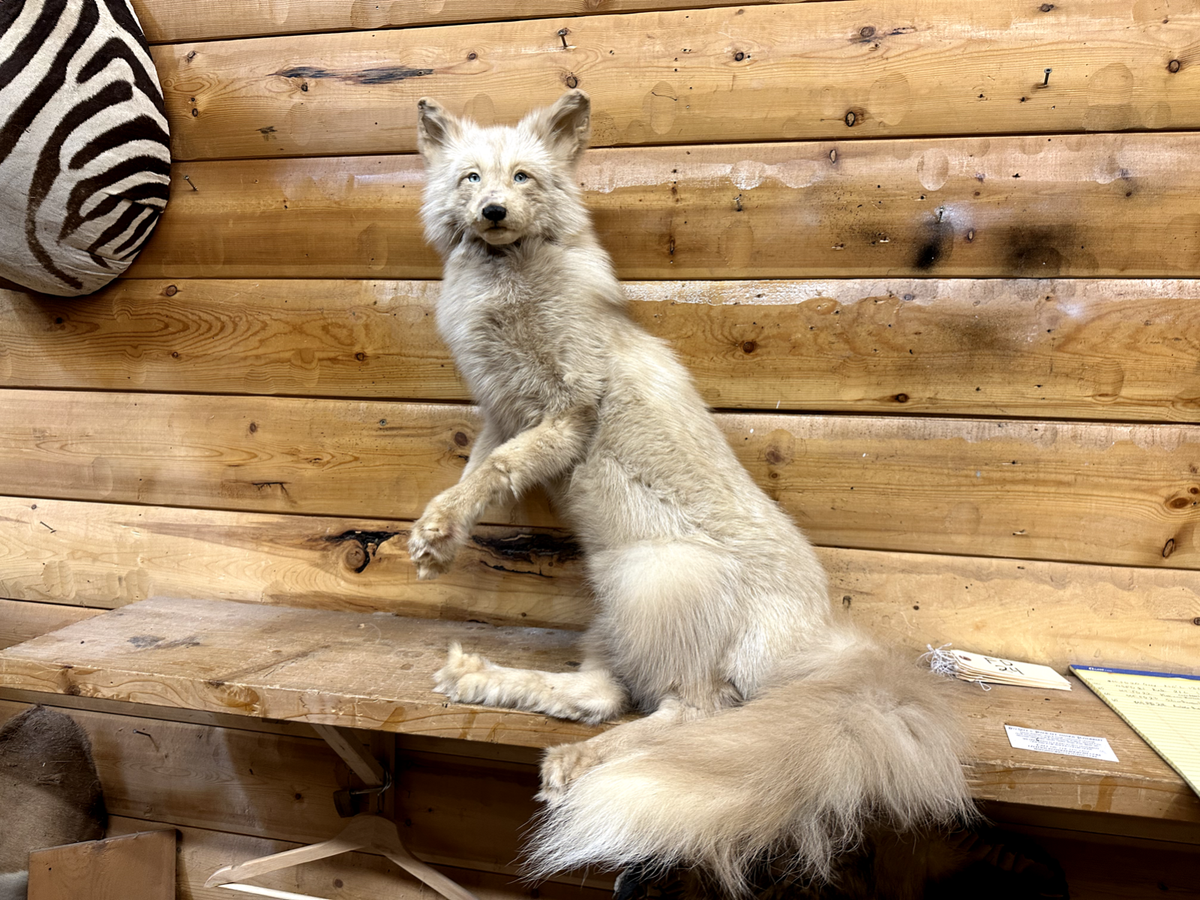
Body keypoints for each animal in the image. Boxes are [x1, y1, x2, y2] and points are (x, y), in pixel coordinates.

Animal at [407, 89, 976, 894]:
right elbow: (475, 477)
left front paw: (439, 530)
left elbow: (496, 472)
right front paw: (436, 539)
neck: (509, 294)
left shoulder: (566, 413)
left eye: (521, 178)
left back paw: (584, 765)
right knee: (604, 697)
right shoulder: (501, 414)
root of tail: (820, 635)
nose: (492, 212)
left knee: (691, 717)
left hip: (656, 583)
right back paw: (485, 682)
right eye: (470, 178)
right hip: (616, 610)